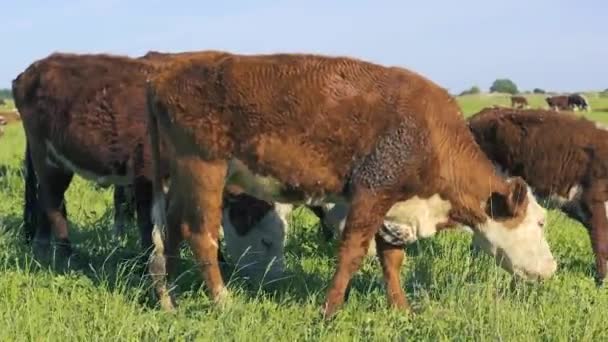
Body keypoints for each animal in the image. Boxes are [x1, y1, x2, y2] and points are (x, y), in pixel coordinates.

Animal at [146, 50, 556, 318]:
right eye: (539, 223)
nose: (552, 269)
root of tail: (168, 71)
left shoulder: (394, 207)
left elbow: (392, 260)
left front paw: (401, 310)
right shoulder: (371, 193)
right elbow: (352, 254)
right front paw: (329, 312)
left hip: (181, 176)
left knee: (169, 233)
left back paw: (169, 301)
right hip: (204, 167)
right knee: (200, 235)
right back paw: (222, 301)